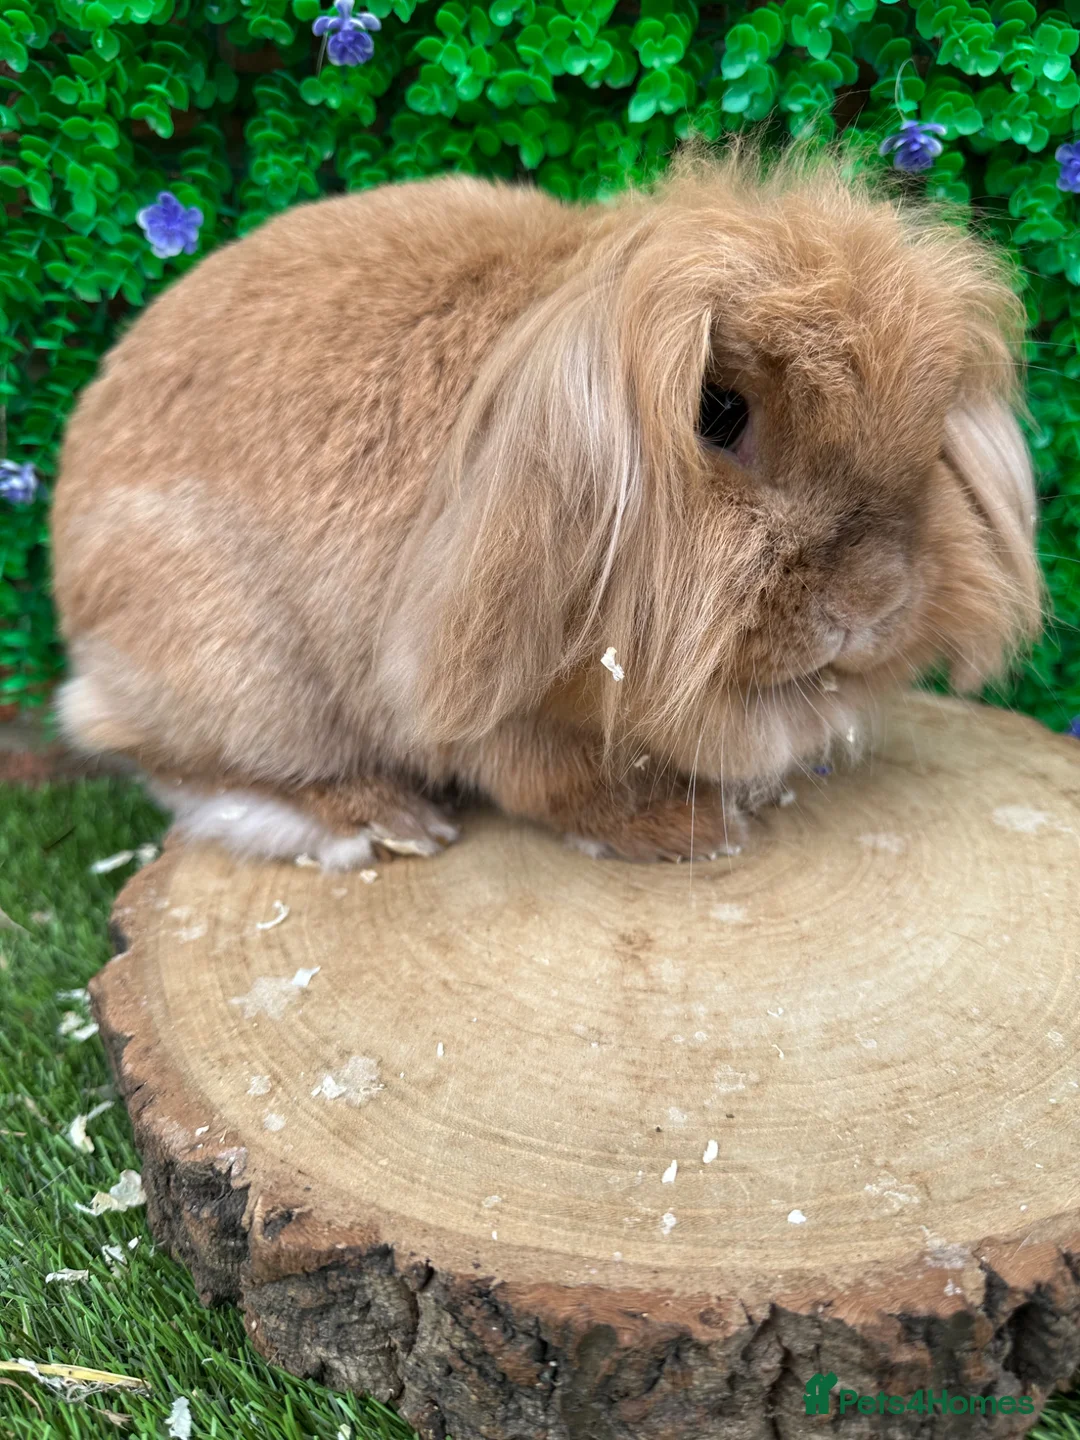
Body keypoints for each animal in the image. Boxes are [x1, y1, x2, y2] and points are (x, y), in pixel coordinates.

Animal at [50, 142, 1041, 868]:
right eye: (719, 412)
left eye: (932, 435)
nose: (874, 603)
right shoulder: (501, 716)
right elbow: (556, 788)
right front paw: (691, 833)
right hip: (244, 673)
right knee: (171, 758)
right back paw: (386, 823)